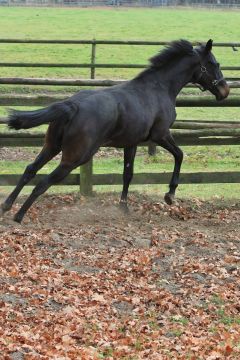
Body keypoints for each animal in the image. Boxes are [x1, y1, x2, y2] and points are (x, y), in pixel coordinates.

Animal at [0, 38, 229, 221]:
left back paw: (6, 206)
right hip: (75, 157)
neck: (159, 88)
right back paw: (19, 216)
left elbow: (128, 174)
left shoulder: (131, 143)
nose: (225, 90)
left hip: (52, 146)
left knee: (30, 170)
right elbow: (180, 155)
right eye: (213, 63)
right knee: (43, 182)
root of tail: (72, 106)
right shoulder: (161, 134)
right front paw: (170, 195)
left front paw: (123, 208)